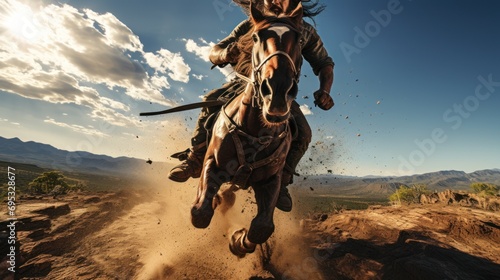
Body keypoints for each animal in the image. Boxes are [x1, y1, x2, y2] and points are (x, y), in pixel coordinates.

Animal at [189, 2, 302, 258]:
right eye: (256, 36)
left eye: (299, 39)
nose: (278, 90)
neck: (255, 132)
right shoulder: (212, 163)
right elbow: (200, 214)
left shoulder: (271, 179)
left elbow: (262, 227)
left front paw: (238, 241)